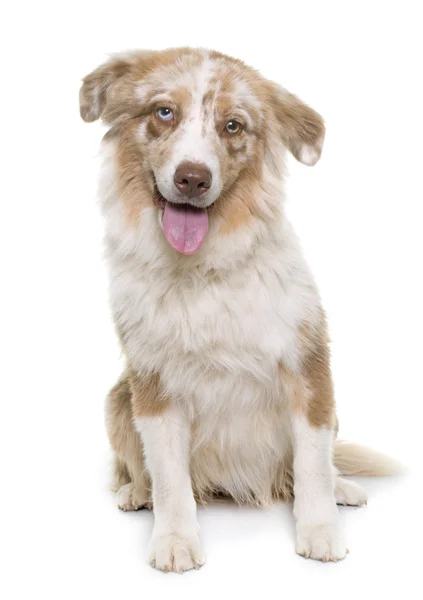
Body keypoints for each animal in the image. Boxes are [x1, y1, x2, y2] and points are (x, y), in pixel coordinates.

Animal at [79, 48, 400, 572]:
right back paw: (136, 493)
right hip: (117, 400)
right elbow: (169, 475)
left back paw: (343, 488)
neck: (204, 271)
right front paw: (175, 538)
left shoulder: (308, 366)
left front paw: (320, 529)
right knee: (136, 469)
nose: (192, 178)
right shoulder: (153, 385)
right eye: (164, 112)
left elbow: (313, 463)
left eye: (233, 125)